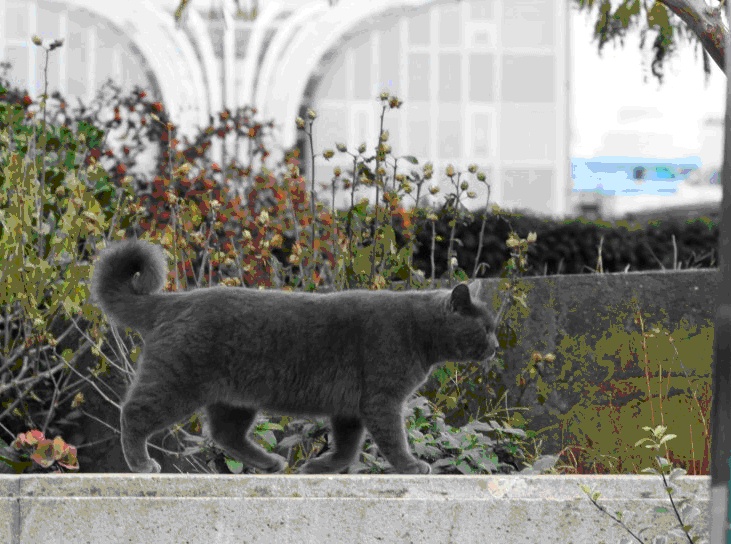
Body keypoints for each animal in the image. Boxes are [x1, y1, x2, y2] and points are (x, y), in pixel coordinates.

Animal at [88, 238, 500, 472]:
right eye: (485, 327)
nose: (496, 346)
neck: (417, 328)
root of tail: (170, 301)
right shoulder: (382, 400)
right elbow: (392, 438)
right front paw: (412, 466)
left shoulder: (351, 407)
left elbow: (347, 446)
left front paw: (321, 466)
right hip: (177, 381)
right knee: (133, 412)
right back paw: (142, 464)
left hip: (235, 397)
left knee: (225, 434)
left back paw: (270, 462)